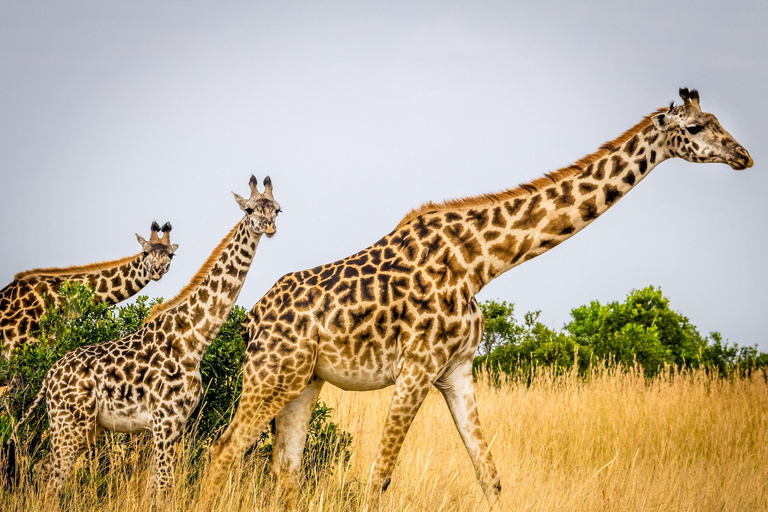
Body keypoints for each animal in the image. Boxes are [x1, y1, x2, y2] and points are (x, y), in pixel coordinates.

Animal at [6, 177, 282, 500]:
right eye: (249, 209)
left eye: (277, 209)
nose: (269, 226)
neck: (194, 338)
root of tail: (48, 379)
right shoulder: (165, 419)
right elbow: (160, 486)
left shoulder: (178, 423)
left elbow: (159, 484)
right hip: (69, 423)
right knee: (53, 479)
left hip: (86, 427)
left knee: (43, 469)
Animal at [201, 88, 752, 508]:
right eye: (697, 127)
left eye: (718, 120)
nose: (743, 156)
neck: (480, 263)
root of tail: (250, 320)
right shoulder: (416, 369)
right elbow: (379, 476)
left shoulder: (457, 371)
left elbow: (490, 476)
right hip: (269, 376)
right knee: (222, 451)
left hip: (304, 381)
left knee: (285, 468)